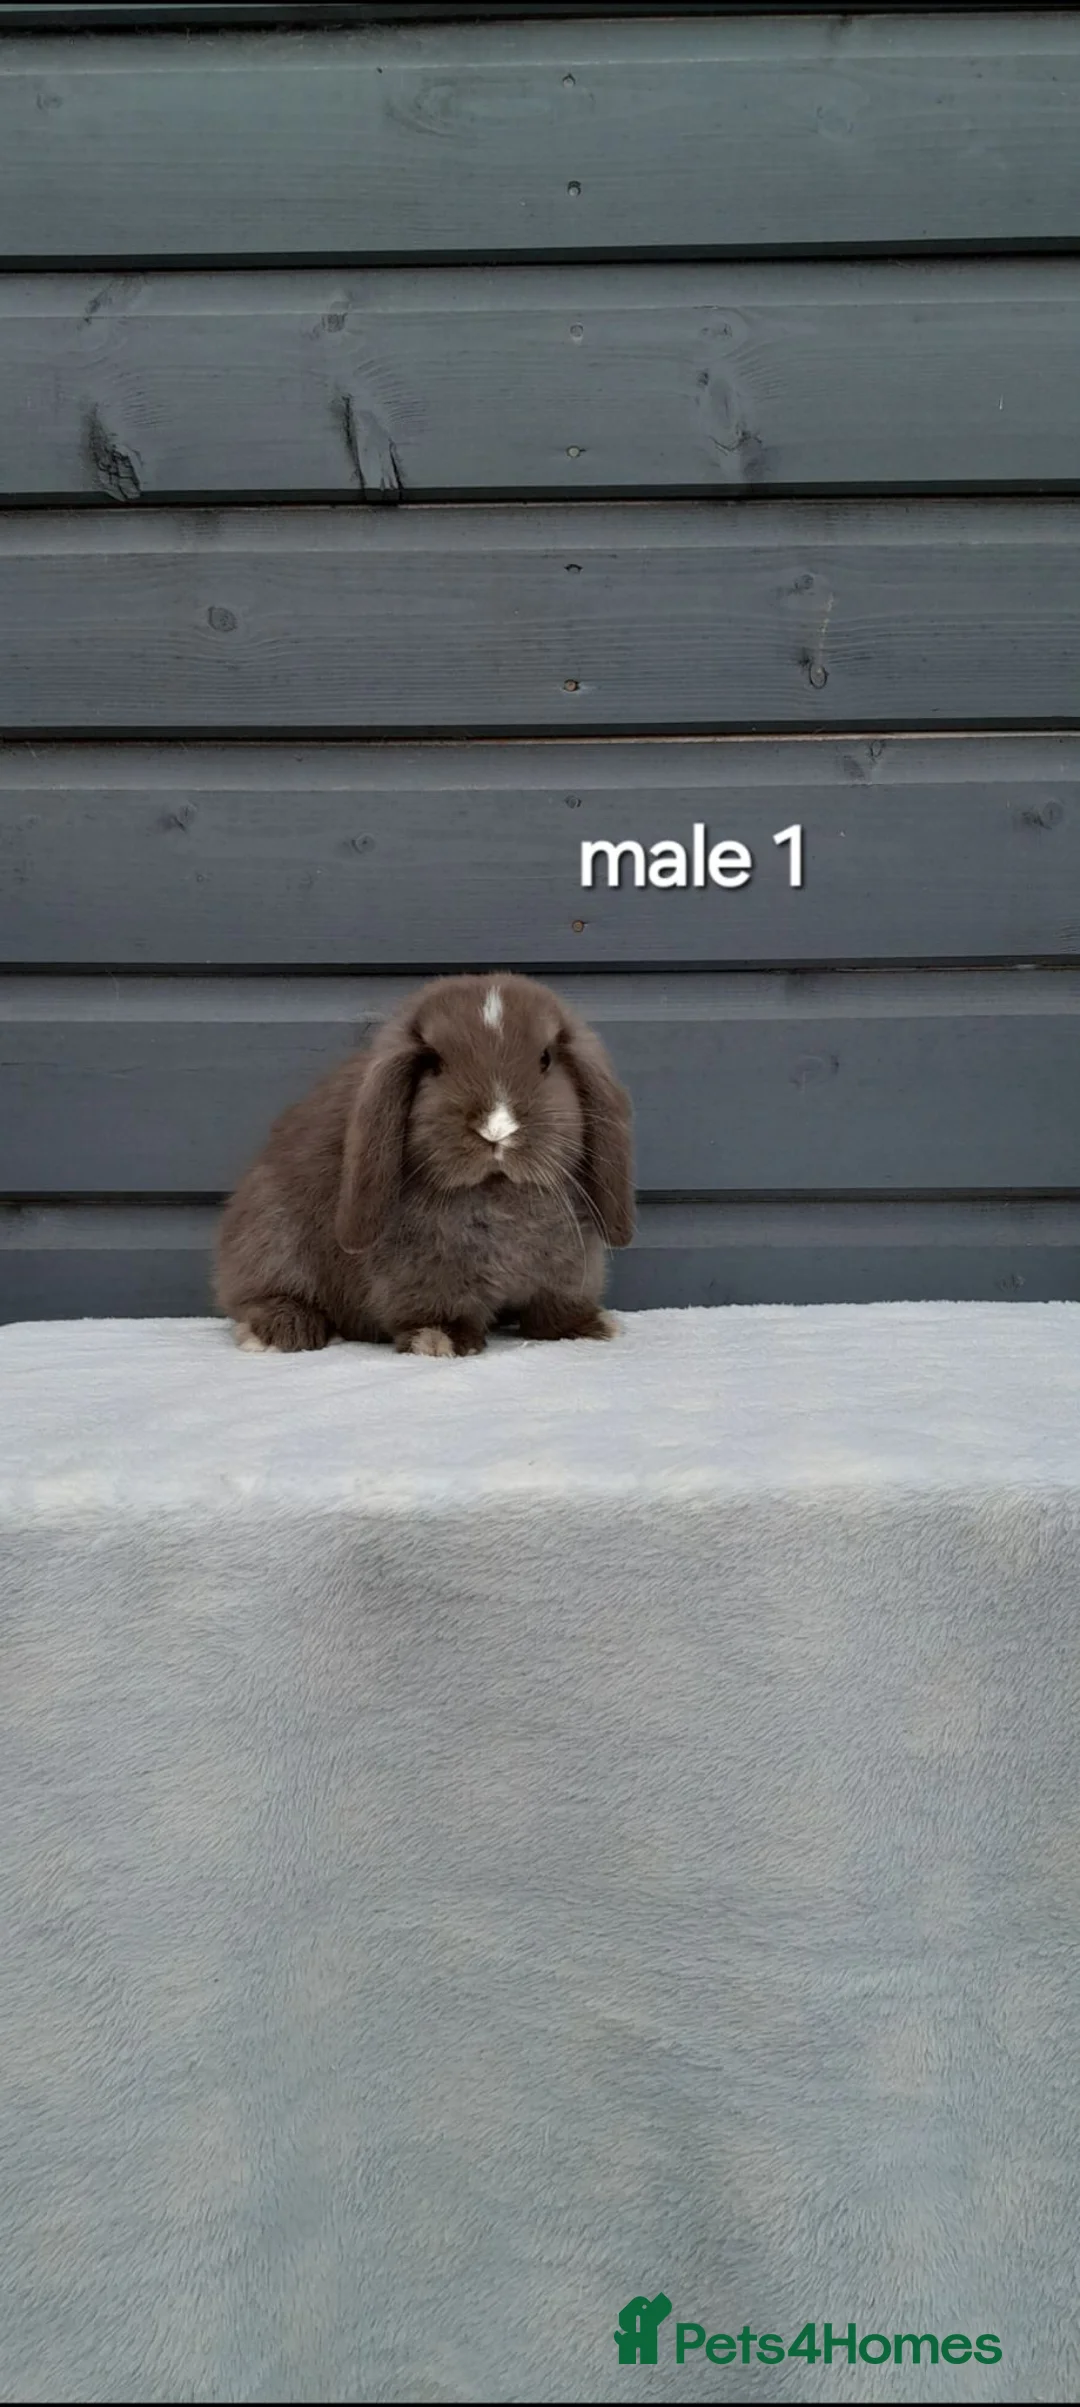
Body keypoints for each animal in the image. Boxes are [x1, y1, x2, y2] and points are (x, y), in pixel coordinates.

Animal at [214, 972, 635, 1357]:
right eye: (435, 1064)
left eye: (545, 1059)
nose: (496, 1127)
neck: (497, 1192)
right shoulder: (422, 1271)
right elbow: (433, 1308)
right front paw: (440, 1339)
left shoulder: (570, 1269)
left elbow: (556, 1307)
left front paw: (587, 1327)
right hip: (271, 1235)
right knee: (258, 1294)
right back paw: (282, 1330)